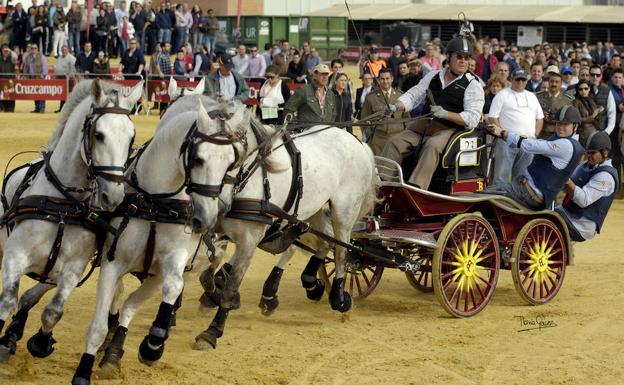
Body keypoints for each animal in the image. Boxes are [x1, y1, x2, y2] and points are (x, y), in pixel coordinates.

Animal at [0, 79, 142, 362]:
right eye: (99, 135)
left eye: (131, 137)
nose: (113, 196)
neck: (62, 206)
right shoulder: (14, 256)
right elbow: (7, 302)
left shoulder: (73, 269)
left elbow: (53, 311)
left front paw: (41, 342)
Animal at [70, 94, 249, 384]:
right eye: (199, 159)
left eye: (230, 162)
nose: (211, 216)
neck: (155, 202)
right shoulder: (113, 263)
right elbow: (103, 319)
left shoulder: (168, 265)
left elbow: (164, 292)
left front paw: (152, 345)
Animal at [190, 118, 378, 350]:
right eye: (197, 158)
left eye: (233, 157)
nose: (220, 204)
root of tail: (355, 141)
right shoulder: (222, 232)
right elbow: (207, 274)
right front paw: (215, 294)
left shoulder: (250, 238)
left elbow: (231, 285)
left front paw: (212, 331)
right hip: (312, 208)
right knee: (324, 240)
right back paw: (307, 283)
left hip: (344, 211)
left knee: (341, 251)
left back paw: (338, 298)